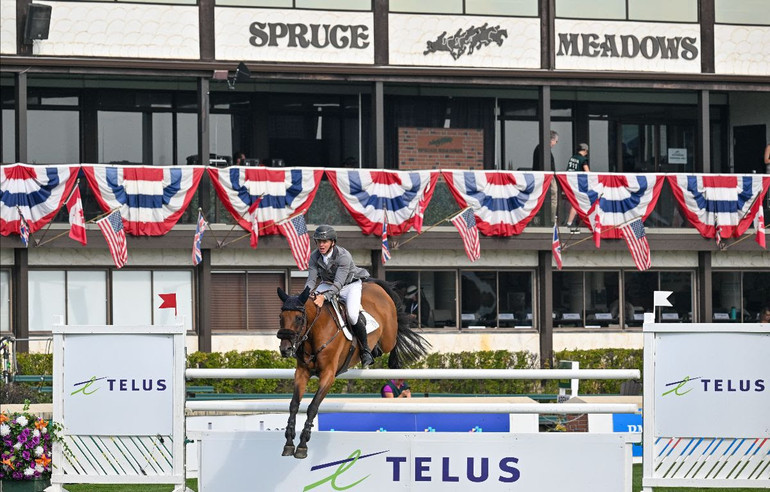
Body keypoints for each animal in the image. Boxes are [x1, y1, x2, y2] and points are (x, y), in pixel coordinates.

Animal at [278, 278, 432, 460]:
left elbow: (313, 407)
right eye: (281, 317)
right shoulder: (302, 372)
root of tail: (375, 285)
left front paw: (302, 445)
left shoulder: (328, 375)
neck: (315, 331)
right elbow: (294, 404)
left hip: (388, 335)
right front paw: (289, 443)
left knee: (394, 337)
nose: (285, 350)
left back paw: (389, 360)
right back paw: (372, 352)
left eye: (299, 318)